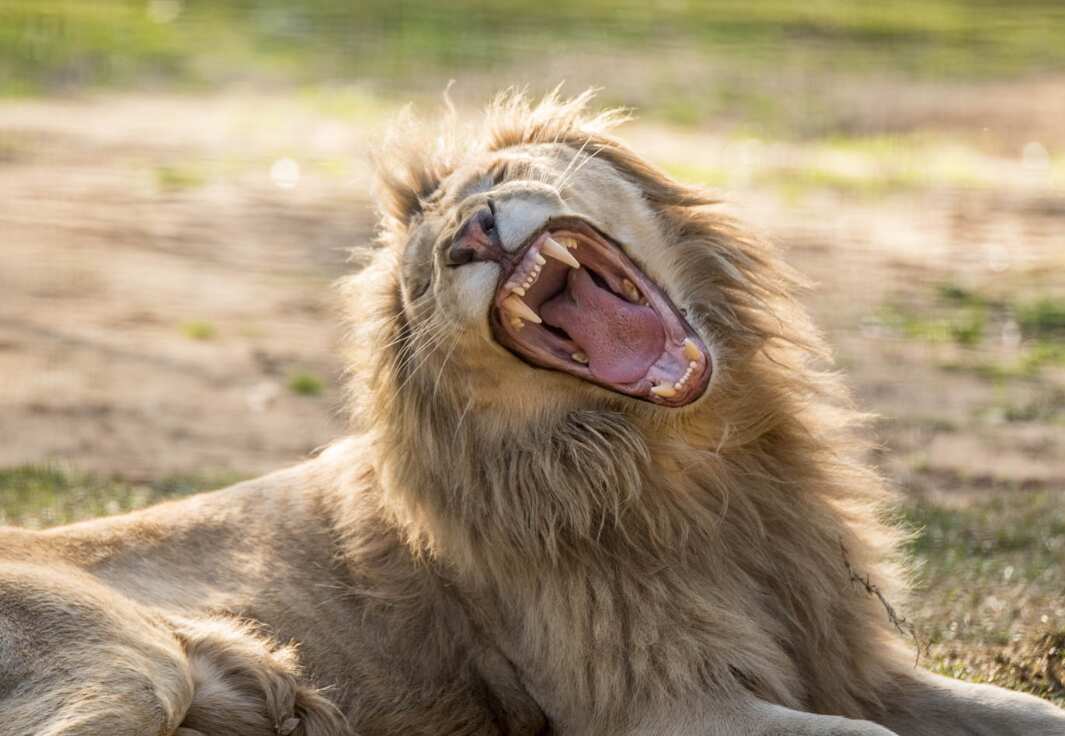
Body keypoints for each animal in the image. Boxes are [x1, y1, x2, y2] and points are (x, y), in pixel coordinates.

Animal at [1, 90, 1063, 736]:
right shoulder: (657, 709)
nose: (473, 236)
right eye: (430, 272)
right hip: (133, 661)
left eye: (488, 187)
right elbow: (860, 732)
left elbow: (1012, 710)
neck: (691, 464)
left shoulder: (848, 654)